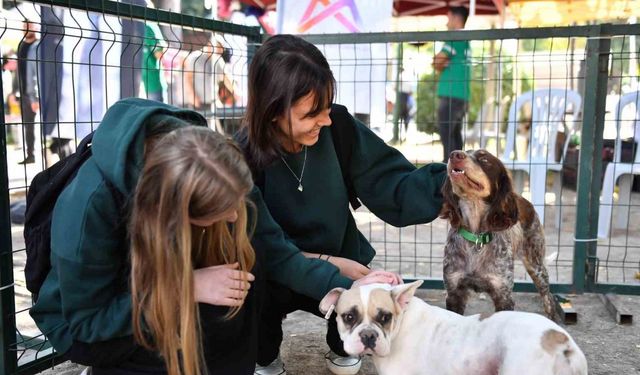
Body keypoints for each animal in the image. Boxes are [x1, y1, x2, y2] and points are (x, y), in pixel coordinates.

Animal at [440, 150, 560, 324]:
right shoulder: (454, 292)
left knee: (548, 297)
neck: (477, 238)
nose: (455, 154)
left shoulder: (503, 295)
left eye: (484, 159)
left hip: (537, 266)